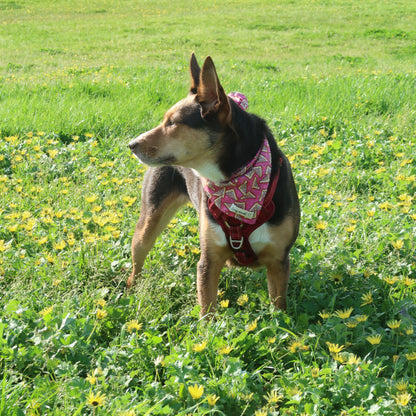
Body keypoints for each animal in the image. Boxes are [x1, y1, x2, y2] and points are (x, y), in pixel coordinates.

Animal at [127, 53, 300, 316]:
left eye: (172, 123)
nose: (131, 144)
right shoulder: (208, 261)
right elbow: (207, 311)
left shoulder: (279, 261)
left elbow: (278, 308)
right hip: (149, 220)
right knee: (138, 258)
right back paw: (129, 291)